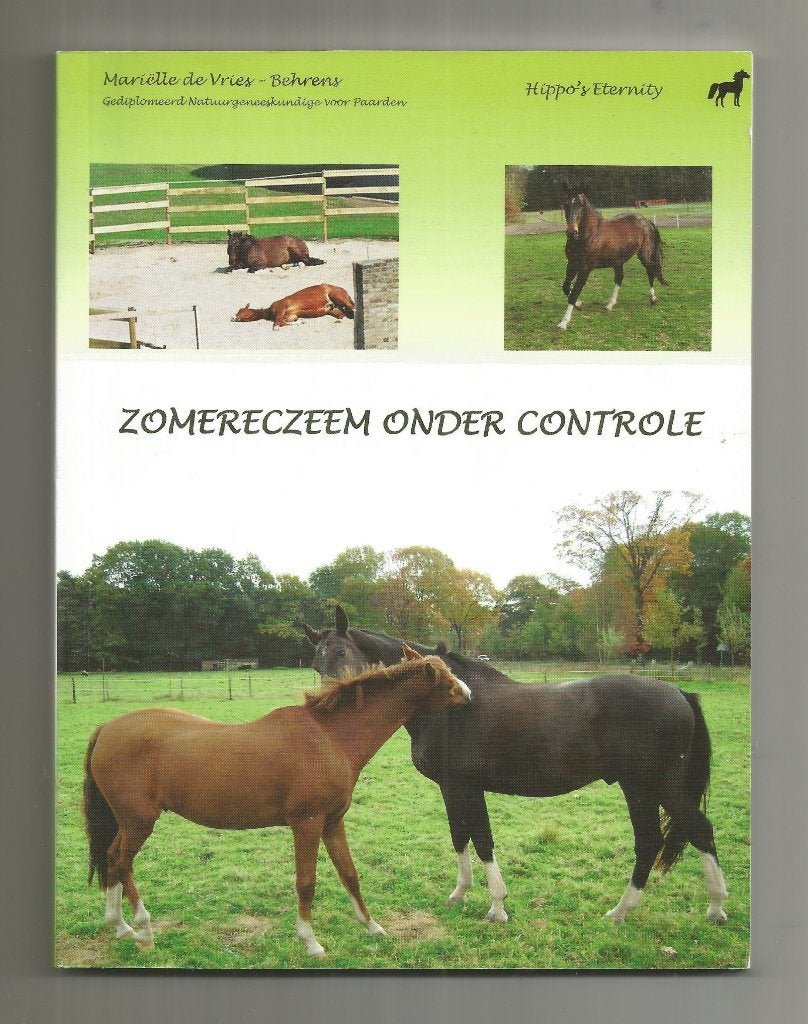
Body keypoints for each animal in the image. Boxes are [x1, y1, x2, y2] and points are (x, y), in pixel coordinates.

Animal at [82, 646, 471, 959]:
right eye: (444, 679)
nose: (468, 694)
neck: (330, 737)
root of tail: (106, 729)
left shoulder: (333, 822)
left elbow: (349, 873)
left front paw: (372, 926)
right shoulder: (307, 823)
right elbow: (306, 882)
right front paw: (311, 942)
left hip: (128, 822)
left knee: (112, 859)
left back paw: (120, 925)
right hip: (139, 822)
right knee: (122, 862)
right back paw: (143, 929)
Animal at [305, 607, 729, 928]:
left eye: (341, 653)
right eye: (314, 661)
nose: (326, 708)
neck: (448, 706)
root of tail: (679, 693)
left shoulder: (467, 786)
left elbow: (482, 840)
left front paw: (496, 907)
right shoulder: (450, 787)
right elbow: (460, 836)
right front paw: (459, 893)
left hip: (650, 786)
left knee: (684, 834)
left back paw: (699, 907)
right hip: (643, 787)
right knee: (664, 839)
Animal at [557, 183, 669, 331]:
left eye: (580, 205)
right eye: (565, 205)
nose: (571, 232)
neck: (588, 235)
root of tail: (646, 220)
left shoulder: (585, 268)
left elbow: (574, 293)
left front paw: (563, 323)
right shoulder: (572, 264)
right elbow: (565, 287)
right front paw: (579, 304)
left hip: (643, 254)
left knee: (650, 271)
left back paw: (652, 299)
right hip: (618, 261)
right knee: (619, 278)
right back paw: (609, 305)